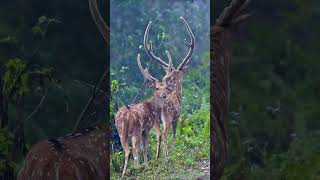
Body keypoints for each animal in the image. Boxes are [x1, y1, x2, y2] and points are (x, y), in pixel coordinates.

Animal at [143, 16, 195, 158]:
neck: (176, 94)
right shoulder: (177, 116)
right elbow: (175, 135)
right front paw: (175, 150)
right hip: (168, 116)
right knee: (164, 133)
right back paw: (167, 157)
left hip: (155, 119)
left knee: (156, 135)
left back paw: (157, 157)